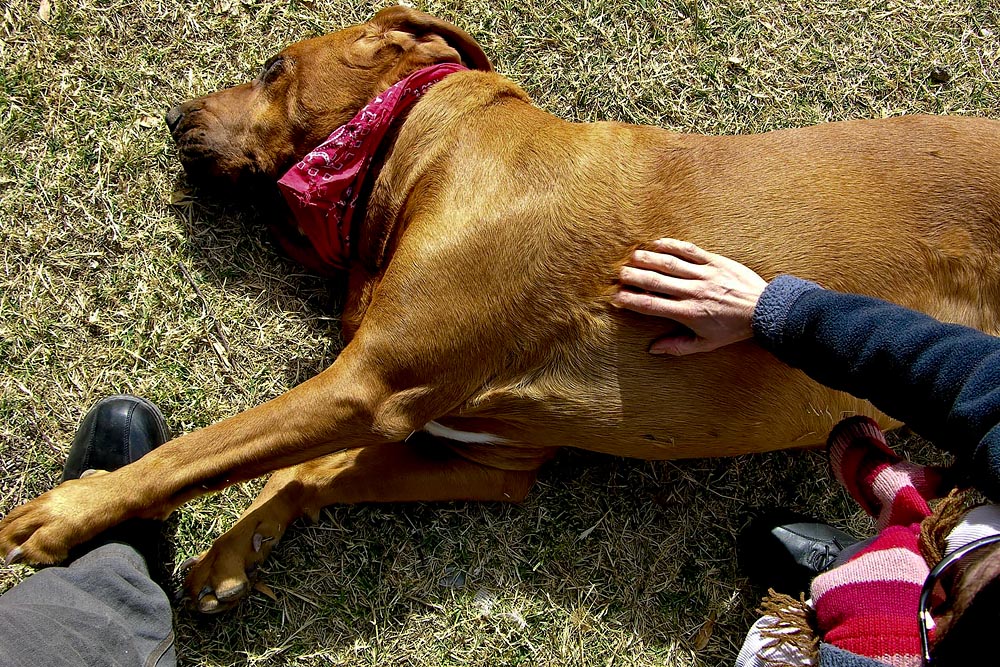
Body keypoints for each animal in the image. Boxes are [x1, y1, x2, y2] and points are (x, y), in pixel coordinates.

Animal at [1, 3, 1000, 616]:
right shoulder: (489, 458)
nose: (173, 118)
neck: (418, 151)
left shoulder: (363, 385)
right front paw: (235, 552)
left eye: (273, 66)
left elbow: (196, 452)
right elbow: (309, 474)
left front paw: (72, 511)